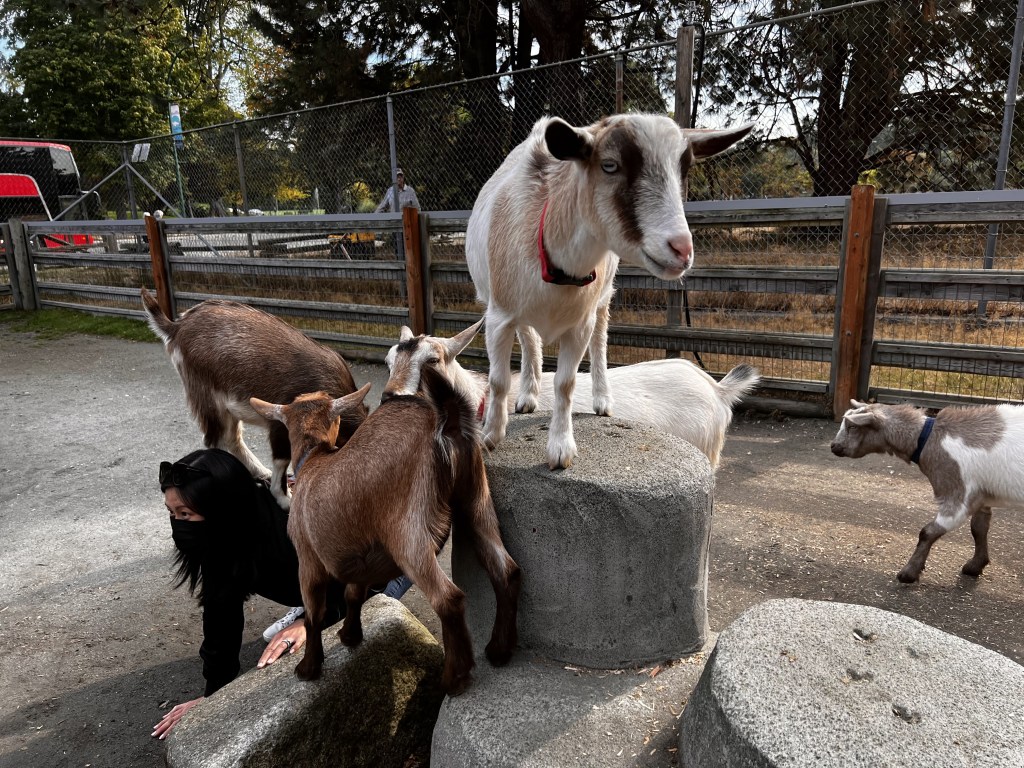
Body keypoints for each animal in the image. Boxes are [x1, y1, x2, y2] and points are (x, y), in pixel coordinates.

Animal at [141, 287, 362, 509]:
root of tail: (176, 327)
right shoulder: (281, 422)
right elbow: (282, 460)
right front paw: (284, 499)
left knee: (232, 438)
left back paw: (260, 472)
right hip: (207, 397)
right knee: (215, 438)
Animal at [249, 367, 521, 694]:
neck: (314, 458)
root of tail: (446, 420)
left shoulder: (308, 560)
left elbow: (314, 614)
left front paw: (308, 668)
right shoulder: (359, 556)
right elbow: (353, 594)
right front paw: (350, 635)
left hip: (408, 531)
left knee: (449, 598)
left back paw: (455, 678)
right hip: (476, 499)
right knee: (505, 569)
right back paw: (499, 650)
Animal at [466, 113, 753, 469]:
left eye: (684, 169)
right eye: (609, 165)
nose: (681, 249)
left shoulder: (581, 322)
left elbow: (566, 383)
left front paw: (560, 449)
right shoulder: (499, 317)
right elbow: (498, 379)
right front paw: (490, 435)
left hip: (602, 300)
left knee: (599, 343)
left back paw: (601, 401)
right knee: (530, 339)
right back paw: (528, 396)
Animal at [831, 399, 1024, 583]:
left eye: (852, 426)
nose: (834, 446)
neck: (929, 438)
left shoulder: (957, 493)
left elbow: (927, 532)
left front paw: (908, 573)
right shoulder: (982, 495)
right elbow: (978, 528)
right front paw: (975, 566)